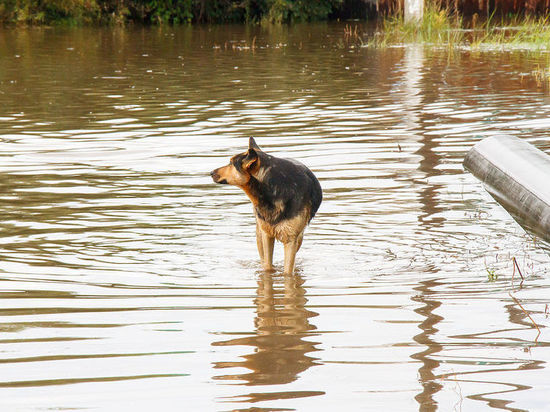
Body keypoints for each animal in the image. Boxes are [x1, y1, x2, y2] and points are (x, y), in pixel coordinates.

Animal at [211, 137, 324, 276]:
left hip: (299, 237)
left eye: (231, 163)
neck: (272, 190)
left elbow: (288, 272)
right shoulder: (266, 235)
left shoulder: (291, 239)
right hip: (260, 232)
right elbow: (268, 266)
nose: (210, 173)